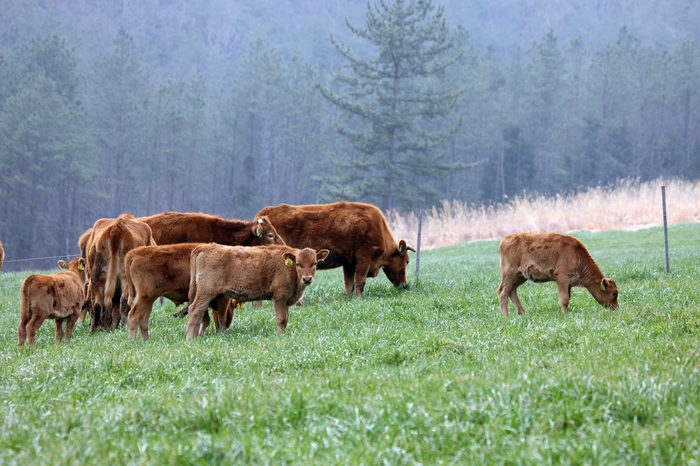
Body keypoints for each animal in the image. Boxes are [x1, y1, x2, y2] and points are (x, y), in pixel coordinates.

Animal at [186, 244, 328, 338]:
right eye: (298, 264)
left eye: (315, 263)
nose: (307, 279)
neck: (289, 267)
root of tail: (205, 247)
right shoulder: (279, 297)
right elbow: (281, 319)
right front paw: (280, 336)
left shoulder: (286, 300)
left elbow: (286, 319)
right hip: (206, 293)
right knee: (195, 310)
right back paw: (191, 338)